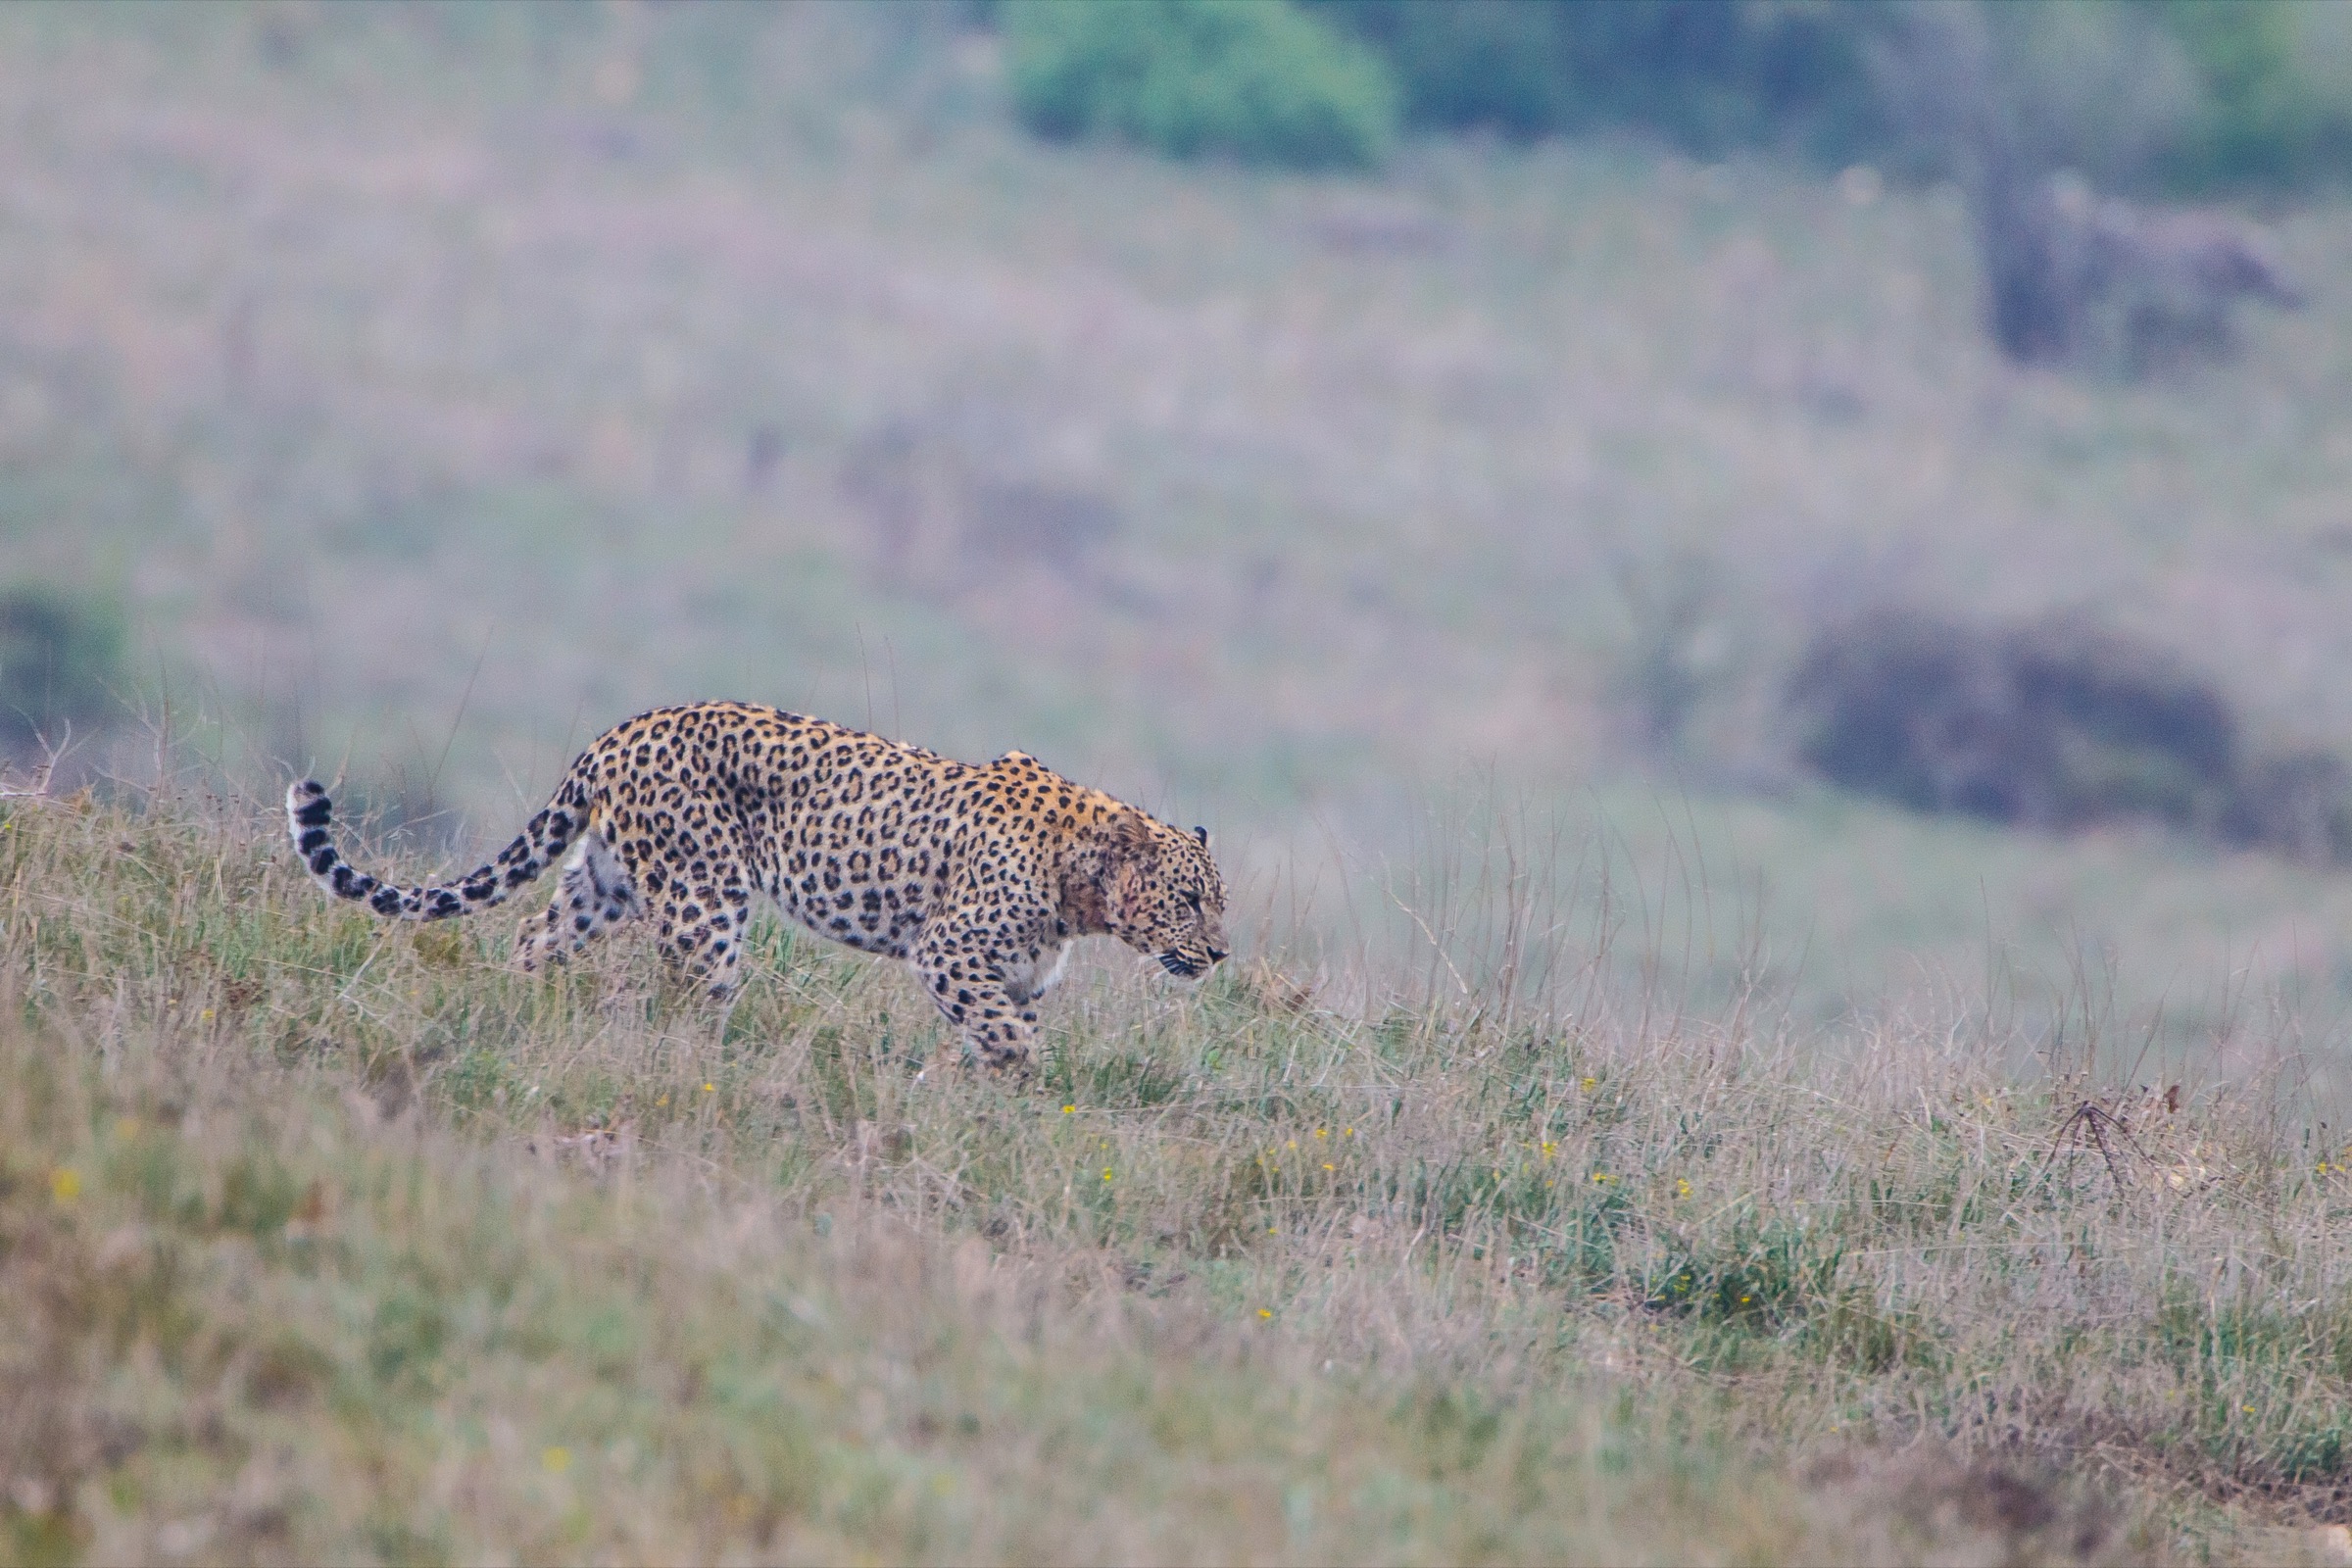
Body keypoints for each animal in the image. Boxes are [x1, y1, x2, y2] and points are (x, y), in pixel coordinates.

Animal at [285, 700, 1228, 1069]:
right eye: (1188, 902)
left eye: (1221, 905)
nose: (1221, 954)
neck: (1085, 891)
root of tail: (621, 731)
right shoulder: (950, 953)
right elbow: (1011, 1036)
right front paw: (1027, 1081)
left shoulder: (1015, 975)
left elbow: (995, 1036)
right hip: (704, 900)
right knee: (692, 996)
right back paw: (705, 1066)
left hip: (603, 885)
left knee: (531, 940)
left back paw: (520, 1015)